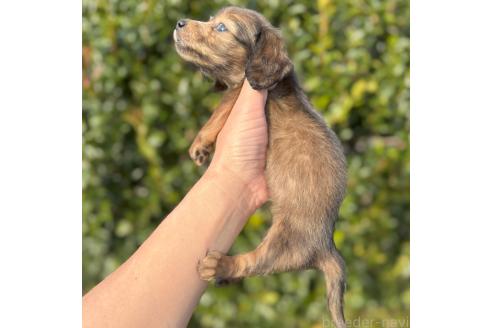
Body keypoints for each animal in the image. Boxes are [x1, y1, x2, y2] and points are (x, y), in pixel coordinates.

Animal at [175, 6, 348, 326]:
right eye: (210, 19)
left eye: (221, 28)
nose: (179, 22)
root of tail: (327, 246)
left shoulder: (240, 94)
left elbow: (218, 111)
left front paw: (200, 144)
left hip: (284, 241)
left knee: (255, 263)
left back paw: (220, 266)